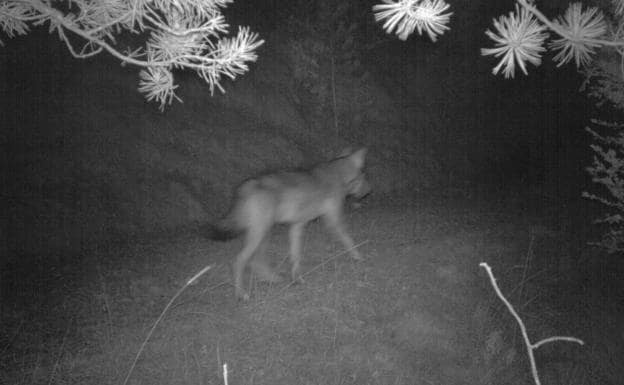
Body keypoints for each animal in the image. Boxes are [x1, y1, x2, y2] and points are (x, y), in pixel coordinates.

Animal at [210, 147, 370, 300]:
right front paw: (358, 256)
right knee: (238, 261)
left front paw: (296, 278)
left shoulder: (297, 226)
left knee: (256, 261)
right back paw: (241, 294)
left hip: (263, 233)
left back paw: (272, 279)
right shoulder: (333, 221)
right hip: (260, 234)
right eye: (364, 176)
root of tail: (247, 185)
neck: (338, 174)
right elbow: (349, 240)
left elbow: (295, 256)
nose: (369, 191)